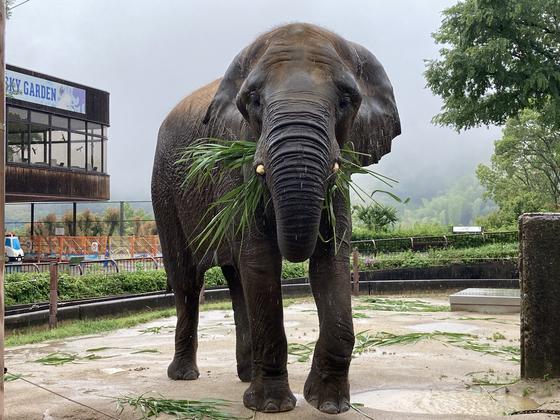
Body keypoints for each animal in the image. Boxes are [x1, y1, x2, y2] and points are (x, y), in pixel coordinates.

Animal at [151, 22, 400, 414]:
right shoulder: (235, 167)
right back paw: (184, 376)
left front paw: (329, 404)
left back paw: (242, 375)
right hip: (164, 189)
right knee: (187, 279)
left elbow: (331, 259)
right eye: (254, 100)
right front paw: (271, 406)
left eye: (345, 101)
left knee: (236, 278)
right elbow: (261, 258)